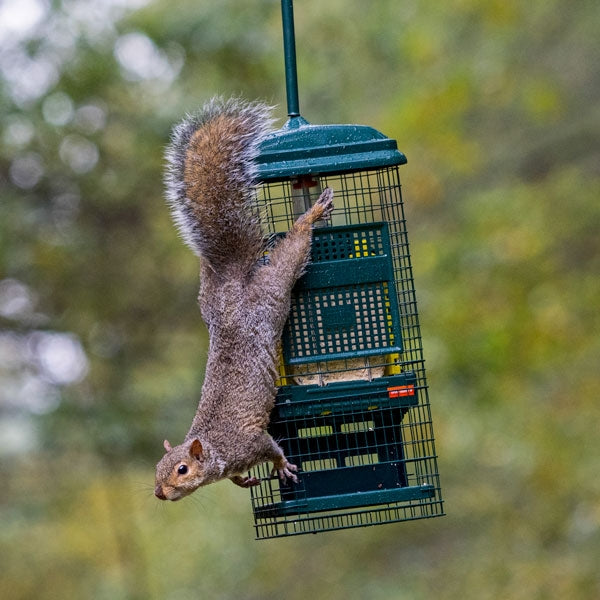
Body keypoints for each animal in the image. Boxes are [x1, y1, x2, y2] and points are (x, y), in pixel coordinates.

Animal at [154, 97, 332, 502]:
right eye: (156, 469)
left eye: (182, 469)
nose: (159, 493)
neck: (216, 450)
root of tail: (233, 289)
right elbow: (237, 477)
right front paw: (243, 481)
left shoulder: (250, 442)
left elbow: (272, 448)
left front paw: (282, 467)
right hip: (208, 295)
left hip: (272, 290)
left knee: (292, 252)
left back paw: (310, 217)